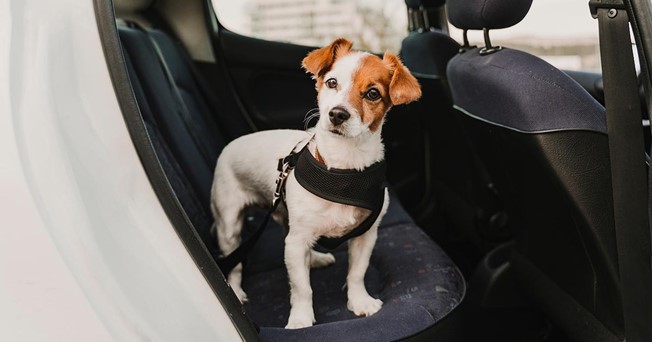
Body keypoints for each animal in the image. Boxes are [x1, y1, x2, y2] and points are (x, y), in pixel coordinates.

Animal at [211, 38, 420, 330]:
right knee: (236, 262)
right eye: (332, 82)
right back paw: (237, 291)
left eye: (373, 94)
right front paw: (300, 319)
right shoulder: (296, 241)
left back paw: (316, 259)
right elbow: (302, 288)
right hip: (230, 226)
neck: (343, 169)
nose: (337, 114)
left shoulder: (365, 236)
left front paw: (360, 302)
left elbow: (357, 272)